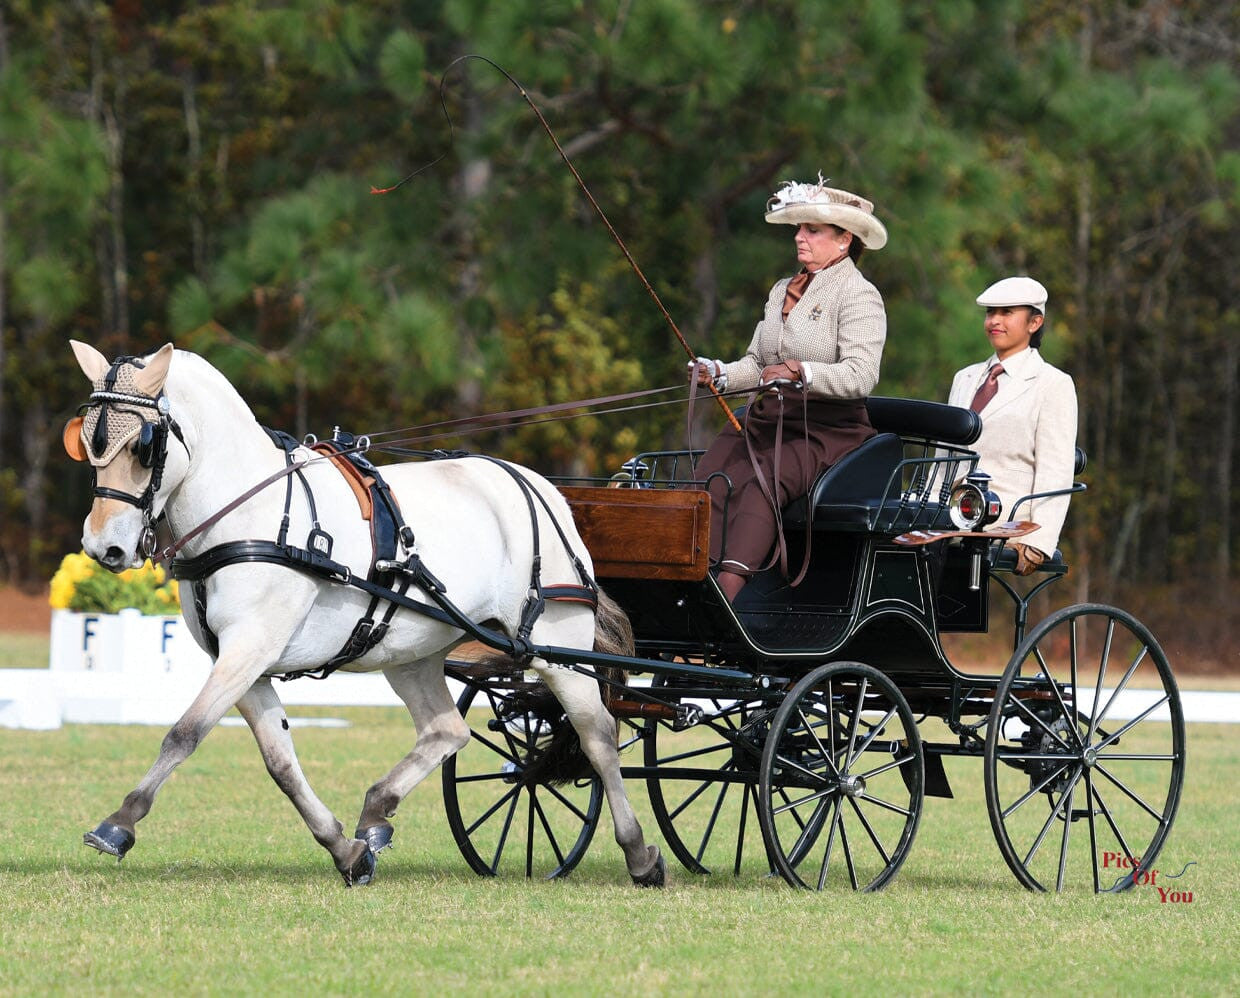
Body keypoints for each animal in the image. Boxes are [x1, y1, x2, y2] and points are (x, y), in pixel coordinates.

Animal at [65, 339, 669, 882]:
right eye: (88, 443)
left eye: (143, 447)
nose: (103, 548)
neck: (252, 513)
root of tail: (542, 488)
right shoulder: (246, 660)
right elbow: (279, 761)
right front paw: (345, 850)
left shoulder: (249, 645)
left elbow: (185, 732)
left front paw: (119, 823)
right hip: (411, 653)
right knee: (447, 730)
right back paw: (376, 812)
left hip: (556, 649)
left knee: (598, 736)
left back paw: (640, 854)